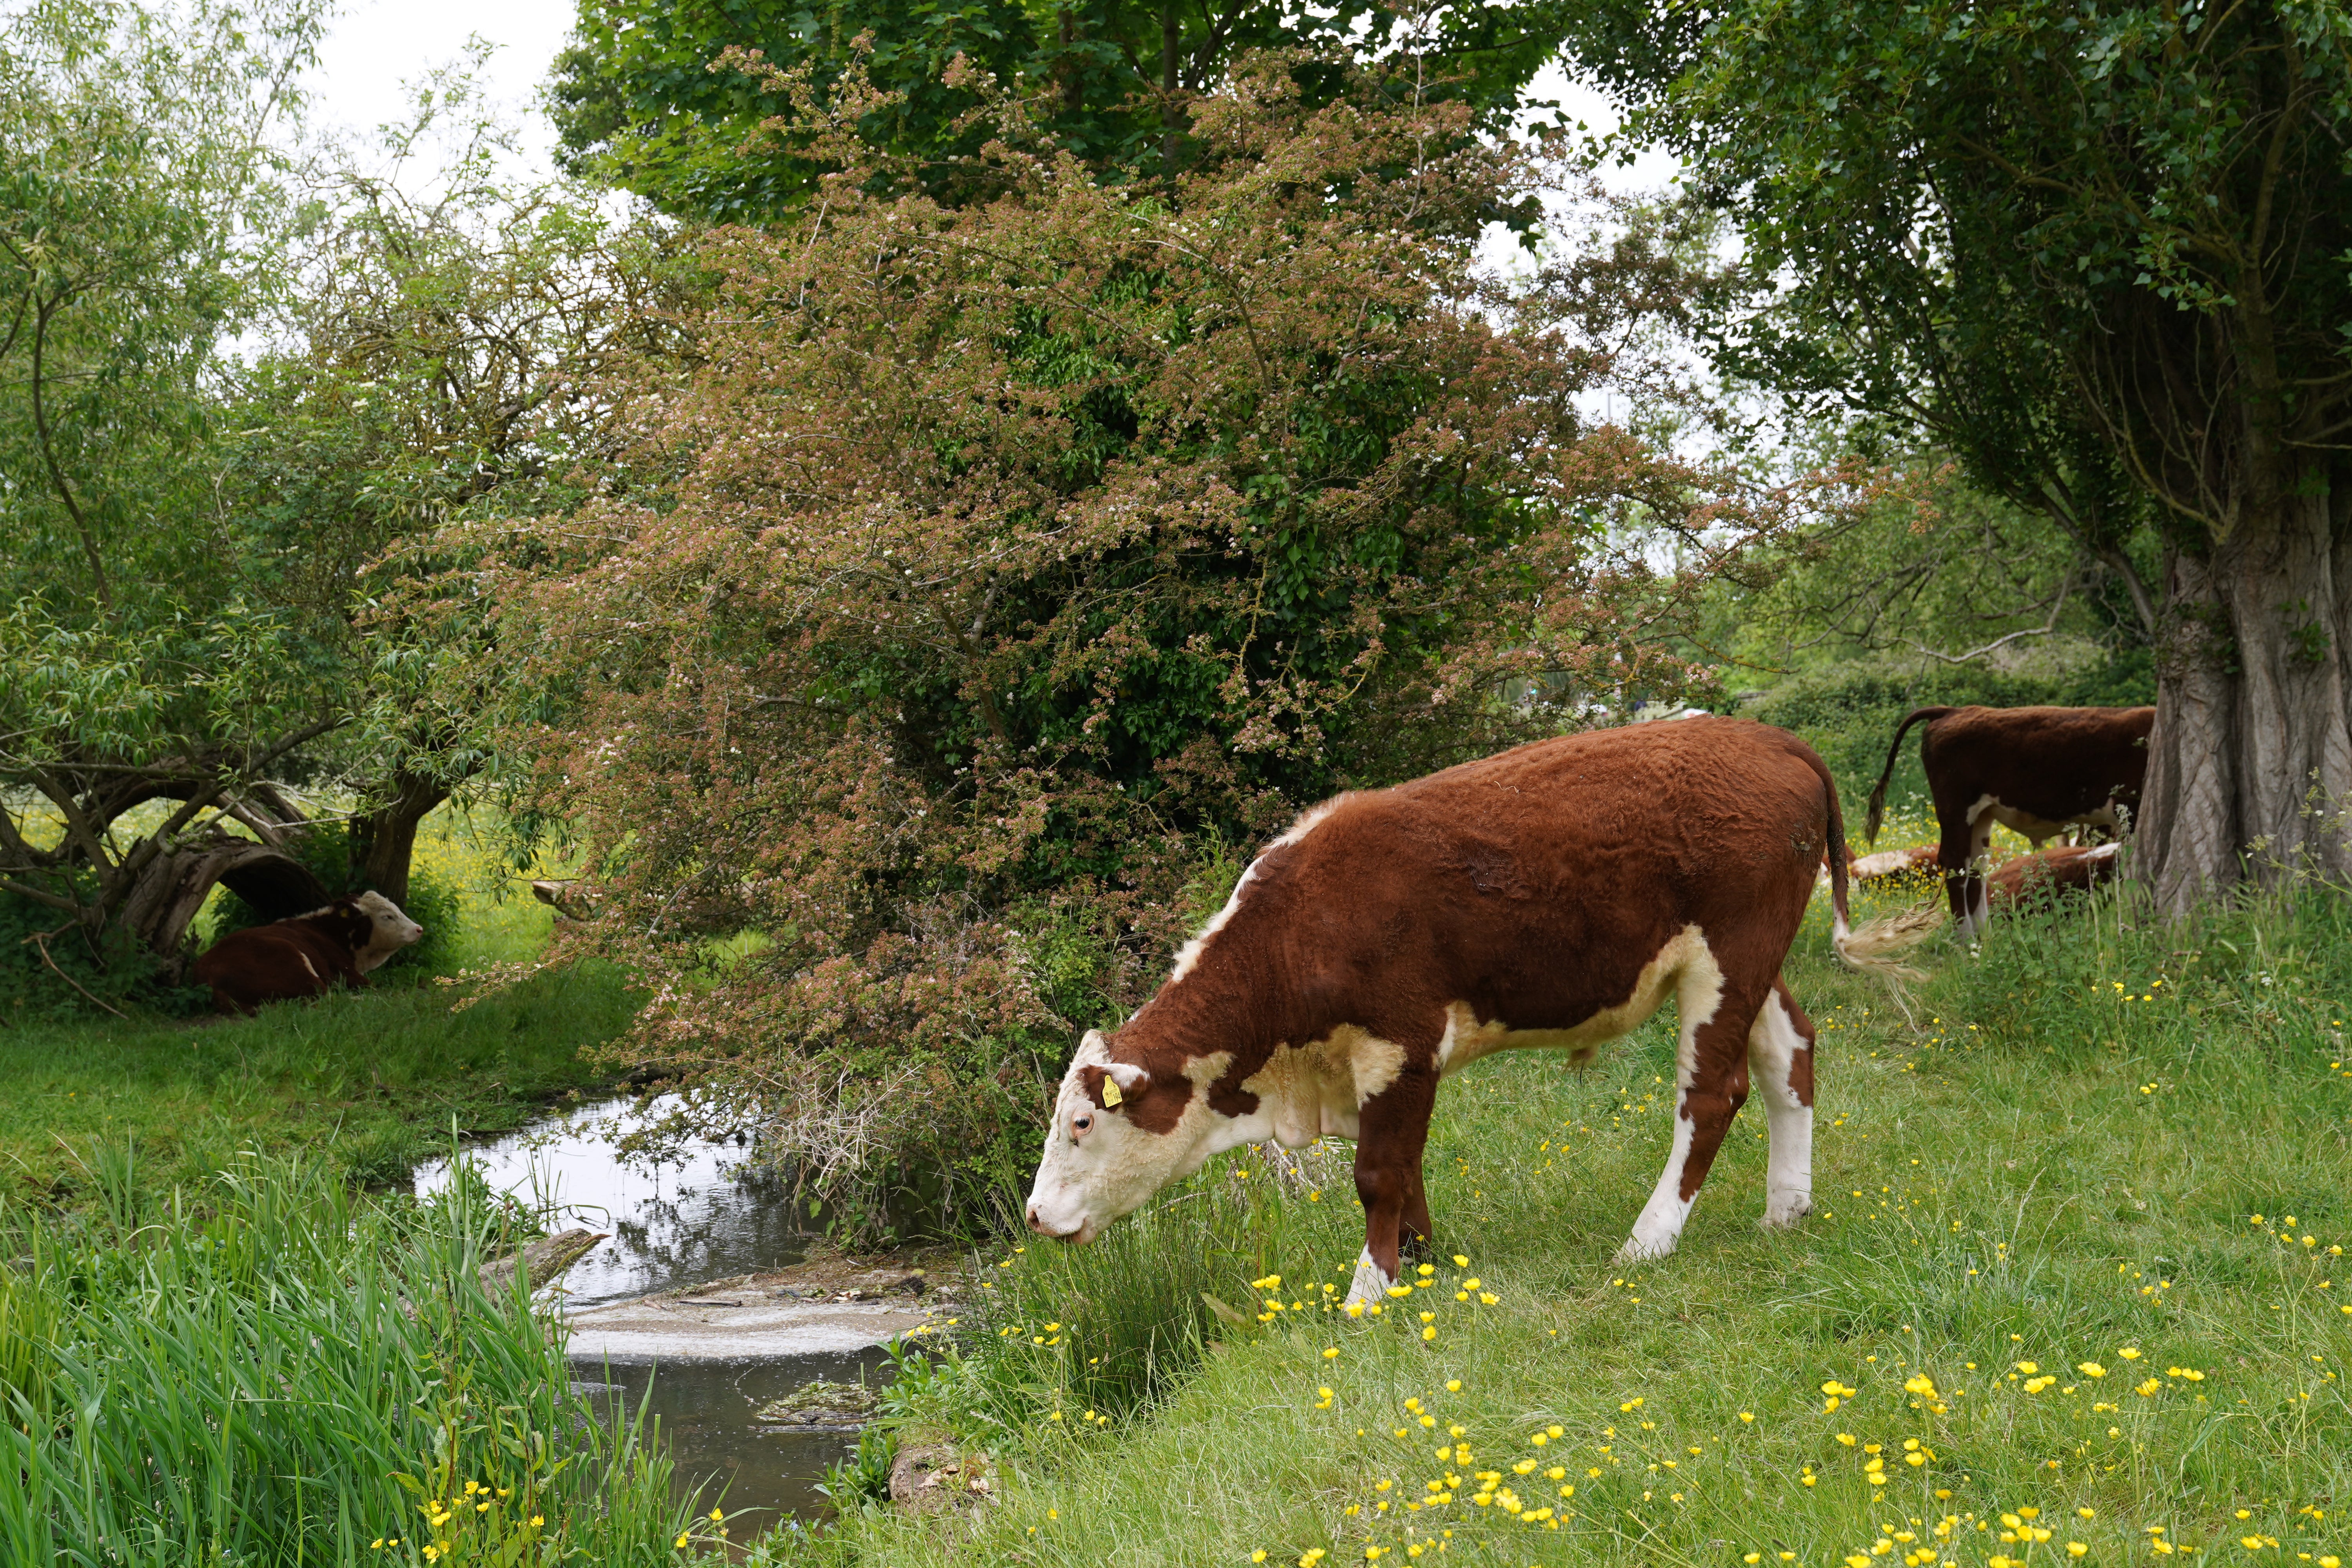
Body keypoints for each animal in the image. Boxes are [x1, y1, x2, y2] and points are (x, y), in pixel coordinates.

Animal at [193, 891, 425, 1015]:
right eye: (387, 916)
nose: (418, 929)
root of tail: (208, 973)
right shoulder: (347, 972)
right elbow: (373, 987)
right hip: (296, 962)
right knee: (328, 998)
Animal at [1024, 717, 1923, 1306]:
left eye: (1081, 1122)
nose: (1034, 1214)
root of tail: (1771, 739)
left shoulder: (1400, 1041)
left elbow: (1379, 1173)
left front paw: (1369, 1291)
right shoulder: (1379, 1066)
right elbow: (1406, 1167)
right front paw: (1418, 1262)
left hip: (1730, 954)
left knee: (1711, 1094)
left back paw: (1649, 1239)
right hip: (1749, 962)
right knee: (1788, 1056)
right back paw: (1786, 1208)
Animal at [1863, 704, 2153, 938]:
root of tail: (1953, 711)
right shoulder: (2129, 813)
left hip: (1982, 816)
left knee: (1975, 868)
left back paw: (1985, 938)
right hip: (1956, 810)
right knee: (1956, 866)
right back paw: (1966, 941)